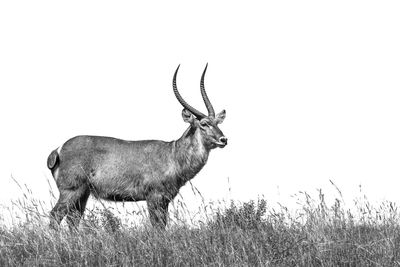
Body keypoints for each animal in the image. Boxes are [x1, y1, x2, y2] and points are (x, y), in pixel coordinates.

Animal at [47, 63, 227, 229]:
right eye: (204, 124)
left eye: (217, 122)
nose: (224, 139)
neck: (173, 154)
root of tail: (58, 150)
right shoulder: (154, 197)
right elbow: (157, 226)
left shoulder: (165, 199)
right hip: (71, 190)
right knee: (55, 216)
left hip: (82, 193)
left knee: (73, 220)